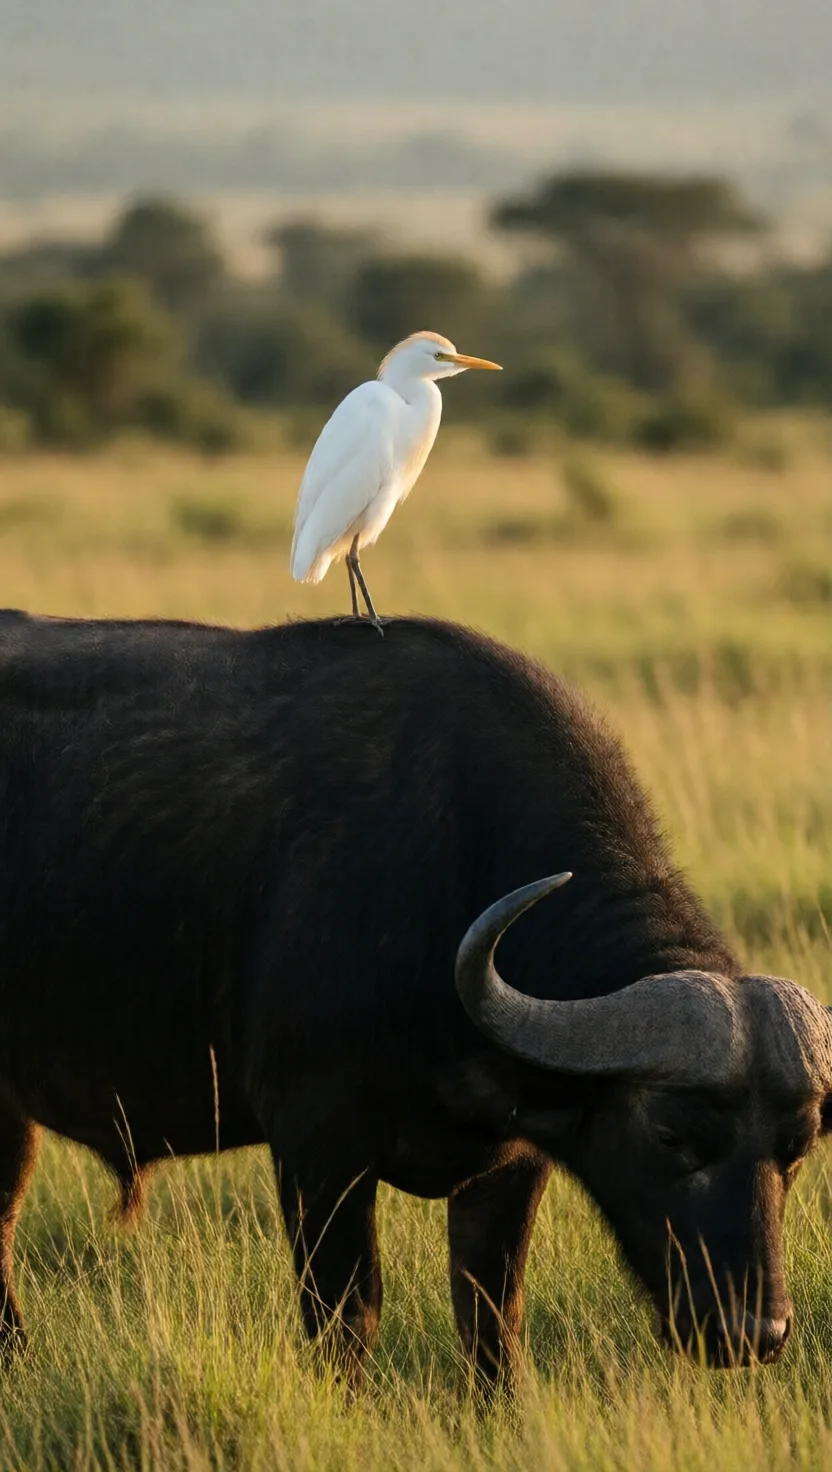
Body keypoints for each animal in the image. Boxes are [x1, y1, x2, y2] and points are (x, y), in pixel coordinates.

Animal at [0, 608, 830, 1394]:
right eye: (669, 1133)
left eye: (796, 1148)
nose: (754, 1331)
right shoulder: (315, 1144)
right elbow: (346, 1313)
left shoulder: (510, 1165)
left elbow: (492, 1314)